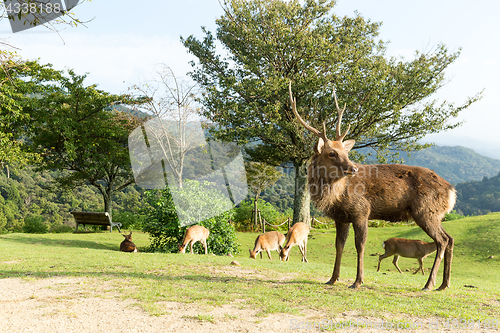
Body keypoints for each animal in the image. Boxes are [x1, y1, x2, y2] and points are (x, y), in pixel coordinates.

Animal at [290, 81, 458, 290]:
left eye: (345, 152)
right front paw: (332, 278)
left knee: (442, 240)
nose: (352, 168)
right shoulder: (341, 217)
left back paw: (429, 284)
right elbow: (339, 246)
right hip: (435, 214)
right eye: (332, 153)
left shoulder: (361, 210)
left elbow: (360, 245)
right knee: (450, 239)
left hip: (425, 211)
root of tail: (452, 191)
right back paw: (444, 284)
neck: (336, 196)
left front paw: (357, 281)